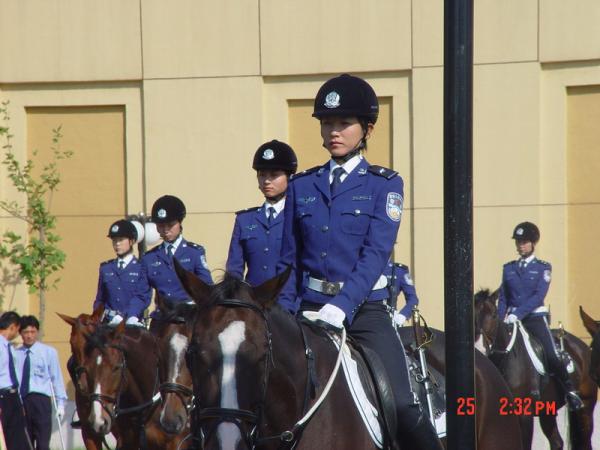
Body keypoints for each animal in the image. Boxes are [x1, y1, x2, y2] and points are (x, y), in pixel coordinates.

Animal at [474, 290, 596, 448]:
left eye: (494, 315)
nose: (480, 347)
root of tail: (582, 346)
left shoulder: (524, 414)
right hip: (547, 411)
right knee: (557, 442)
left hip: (586, 406)